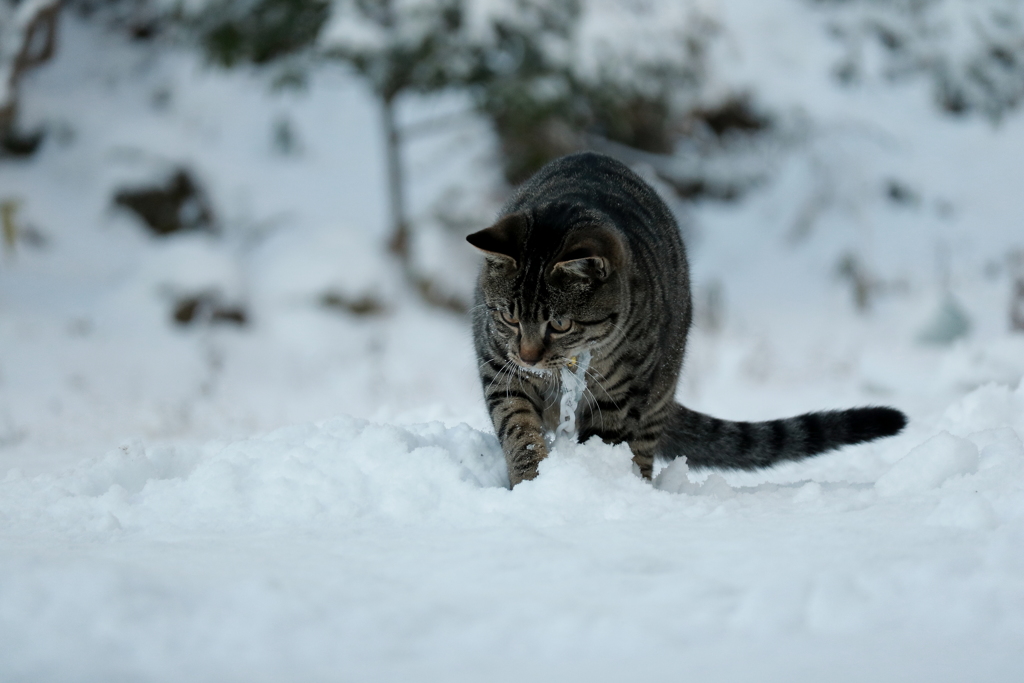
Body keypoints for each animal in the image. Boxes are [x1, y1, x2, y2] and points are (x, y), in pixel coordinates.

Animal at [466, 152, 905, 489]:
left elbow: (603, 442)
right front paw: (530, 483)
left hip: (657, 390)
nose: (528, 357)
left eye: (560, 325)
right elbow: (519, 432)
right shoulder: (499, 369)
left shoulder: (619, 396)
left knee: (642, 452)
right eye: (508, 317)